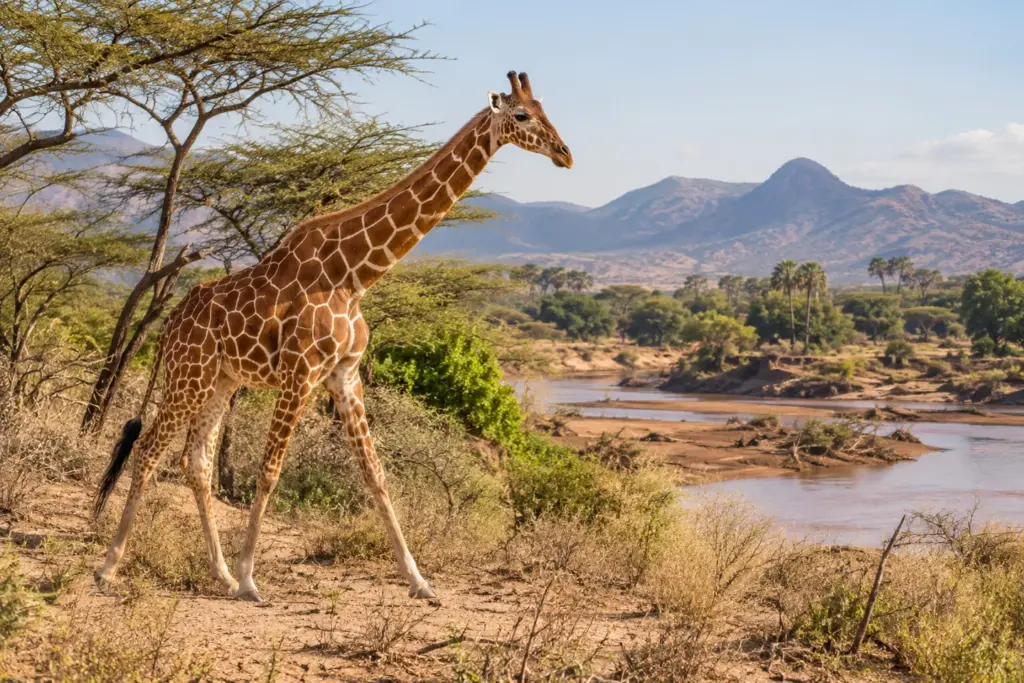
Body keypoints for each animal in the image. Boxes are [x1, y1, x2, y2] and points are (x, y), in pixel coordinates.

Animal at [93, 71, 573, 602]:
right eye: (522, 116)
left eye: (546, 109)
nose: (565, 154)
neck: (355, 274)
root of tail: (167, 327)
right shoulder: (300, 373)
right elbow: (270, 471)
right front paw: (250, 578)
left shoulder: (345, 374)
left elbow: (375, 473)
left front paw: (419, 580)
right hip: (189, 375)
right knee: (149, 449)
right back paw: (111, 565)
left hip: (221, 379)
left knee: (194, 461)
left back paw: (217, 573)